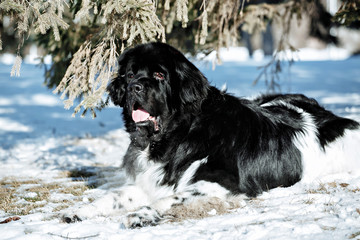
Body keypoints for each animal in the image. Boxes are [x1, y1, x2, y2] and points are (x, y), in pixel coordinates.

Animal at [65, 42, 360, 228]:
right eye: (129, 74)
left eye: (159, 75)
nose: (134, 87)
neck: (180, 134)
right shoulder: (151, 180)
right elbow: (114, 196)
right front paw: (80, 211)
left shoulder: (222, 183)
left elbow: (169, 199)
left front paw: (141, 215)